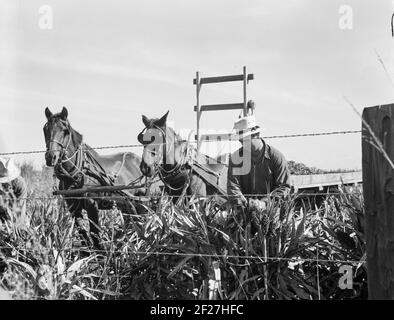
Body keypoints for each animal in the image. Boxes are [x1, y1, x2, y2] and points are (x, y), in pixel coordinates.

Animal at [43, 107, 145, 248]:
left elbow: (95, 233)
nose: (51, 157)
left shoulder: (92, 204)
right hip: (126, 204)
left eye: (65, 130)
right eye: (45, 129)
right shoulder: (72, 205)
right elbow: (82, 232)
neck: (79, 172)